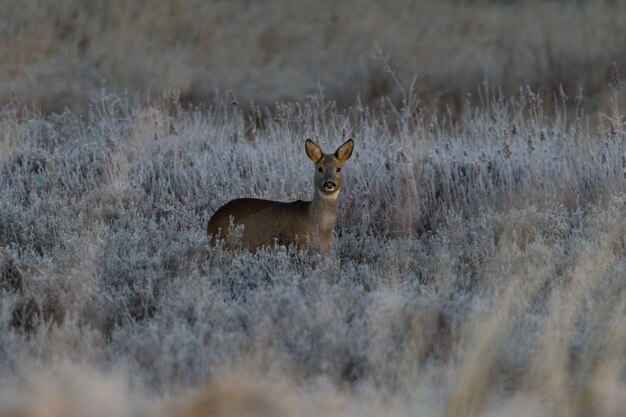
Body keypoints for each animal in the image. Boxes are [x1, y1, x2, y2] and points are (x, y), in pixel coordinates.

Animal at [205, 138, 352, 252]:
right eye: (320, 168)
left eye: (338, 169)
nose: (329, 183)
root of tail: (210, 222)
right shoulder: (297, 244)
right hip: (225, 244)